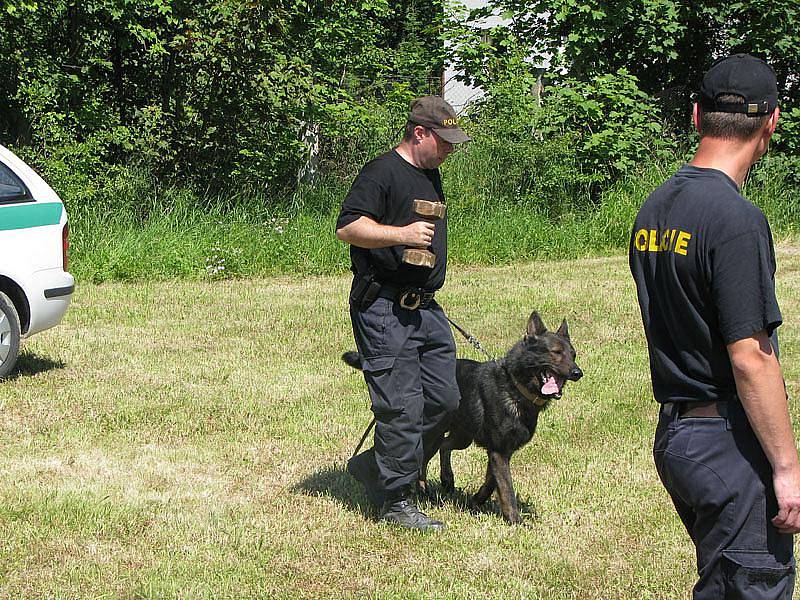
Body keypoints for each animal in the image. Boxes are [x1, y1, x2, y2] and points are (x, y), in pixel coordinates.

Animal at [344, 312, 580, 524]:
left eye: (573, 355)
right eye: (556, 352)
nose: (578, 373)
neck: (514, 386)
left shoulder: (500, 452)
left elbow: (492, 482)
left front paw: (476, 501)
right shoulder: (499, 452)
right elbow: (506, 488)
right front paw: (514, 519)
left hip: (461, 437)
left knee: (443, 447)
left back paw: (445, 480)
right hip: (433, 432)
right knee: (420, 459)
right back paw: (416, 489)